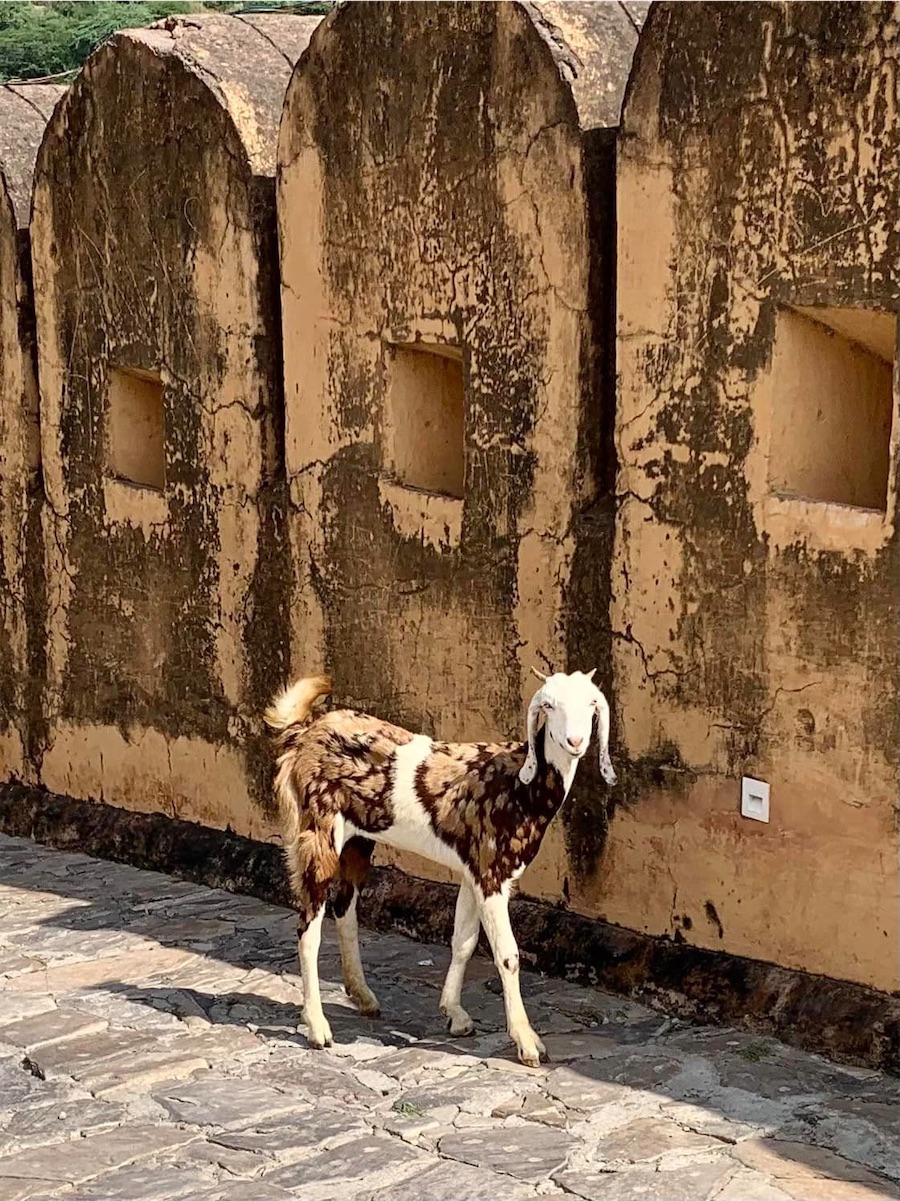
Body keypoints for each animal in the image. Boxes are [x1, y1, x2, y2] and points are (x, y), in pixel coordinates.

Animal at [265, 667, 620, 1071]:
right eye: (549, 706)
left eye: (591, 705)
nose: (575, 741)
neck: (519, 785)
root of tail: (305, 732)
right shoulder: (491, 873)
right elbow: (508, 955)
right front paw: (527, 1042)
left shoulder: (472, 871)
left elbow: (463, 942)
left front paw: (455, 1013)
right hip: (318, 832)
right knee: (308, 928)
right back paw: (317, 1027)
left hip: (357, 840)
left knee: (345, 910)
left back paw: (363, 996)